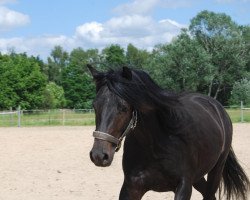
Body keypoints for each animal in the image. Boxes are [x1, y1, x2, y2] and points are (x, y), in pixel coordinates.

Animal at [88, 65, 248, 200]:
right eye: (95, 105)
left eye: (124, 108)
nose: (99, 155)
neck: (158, 143)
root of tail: (218, 108)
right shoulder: (131, 187)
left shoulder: (184, 186)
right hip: (198, 177)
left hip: (216, 169)